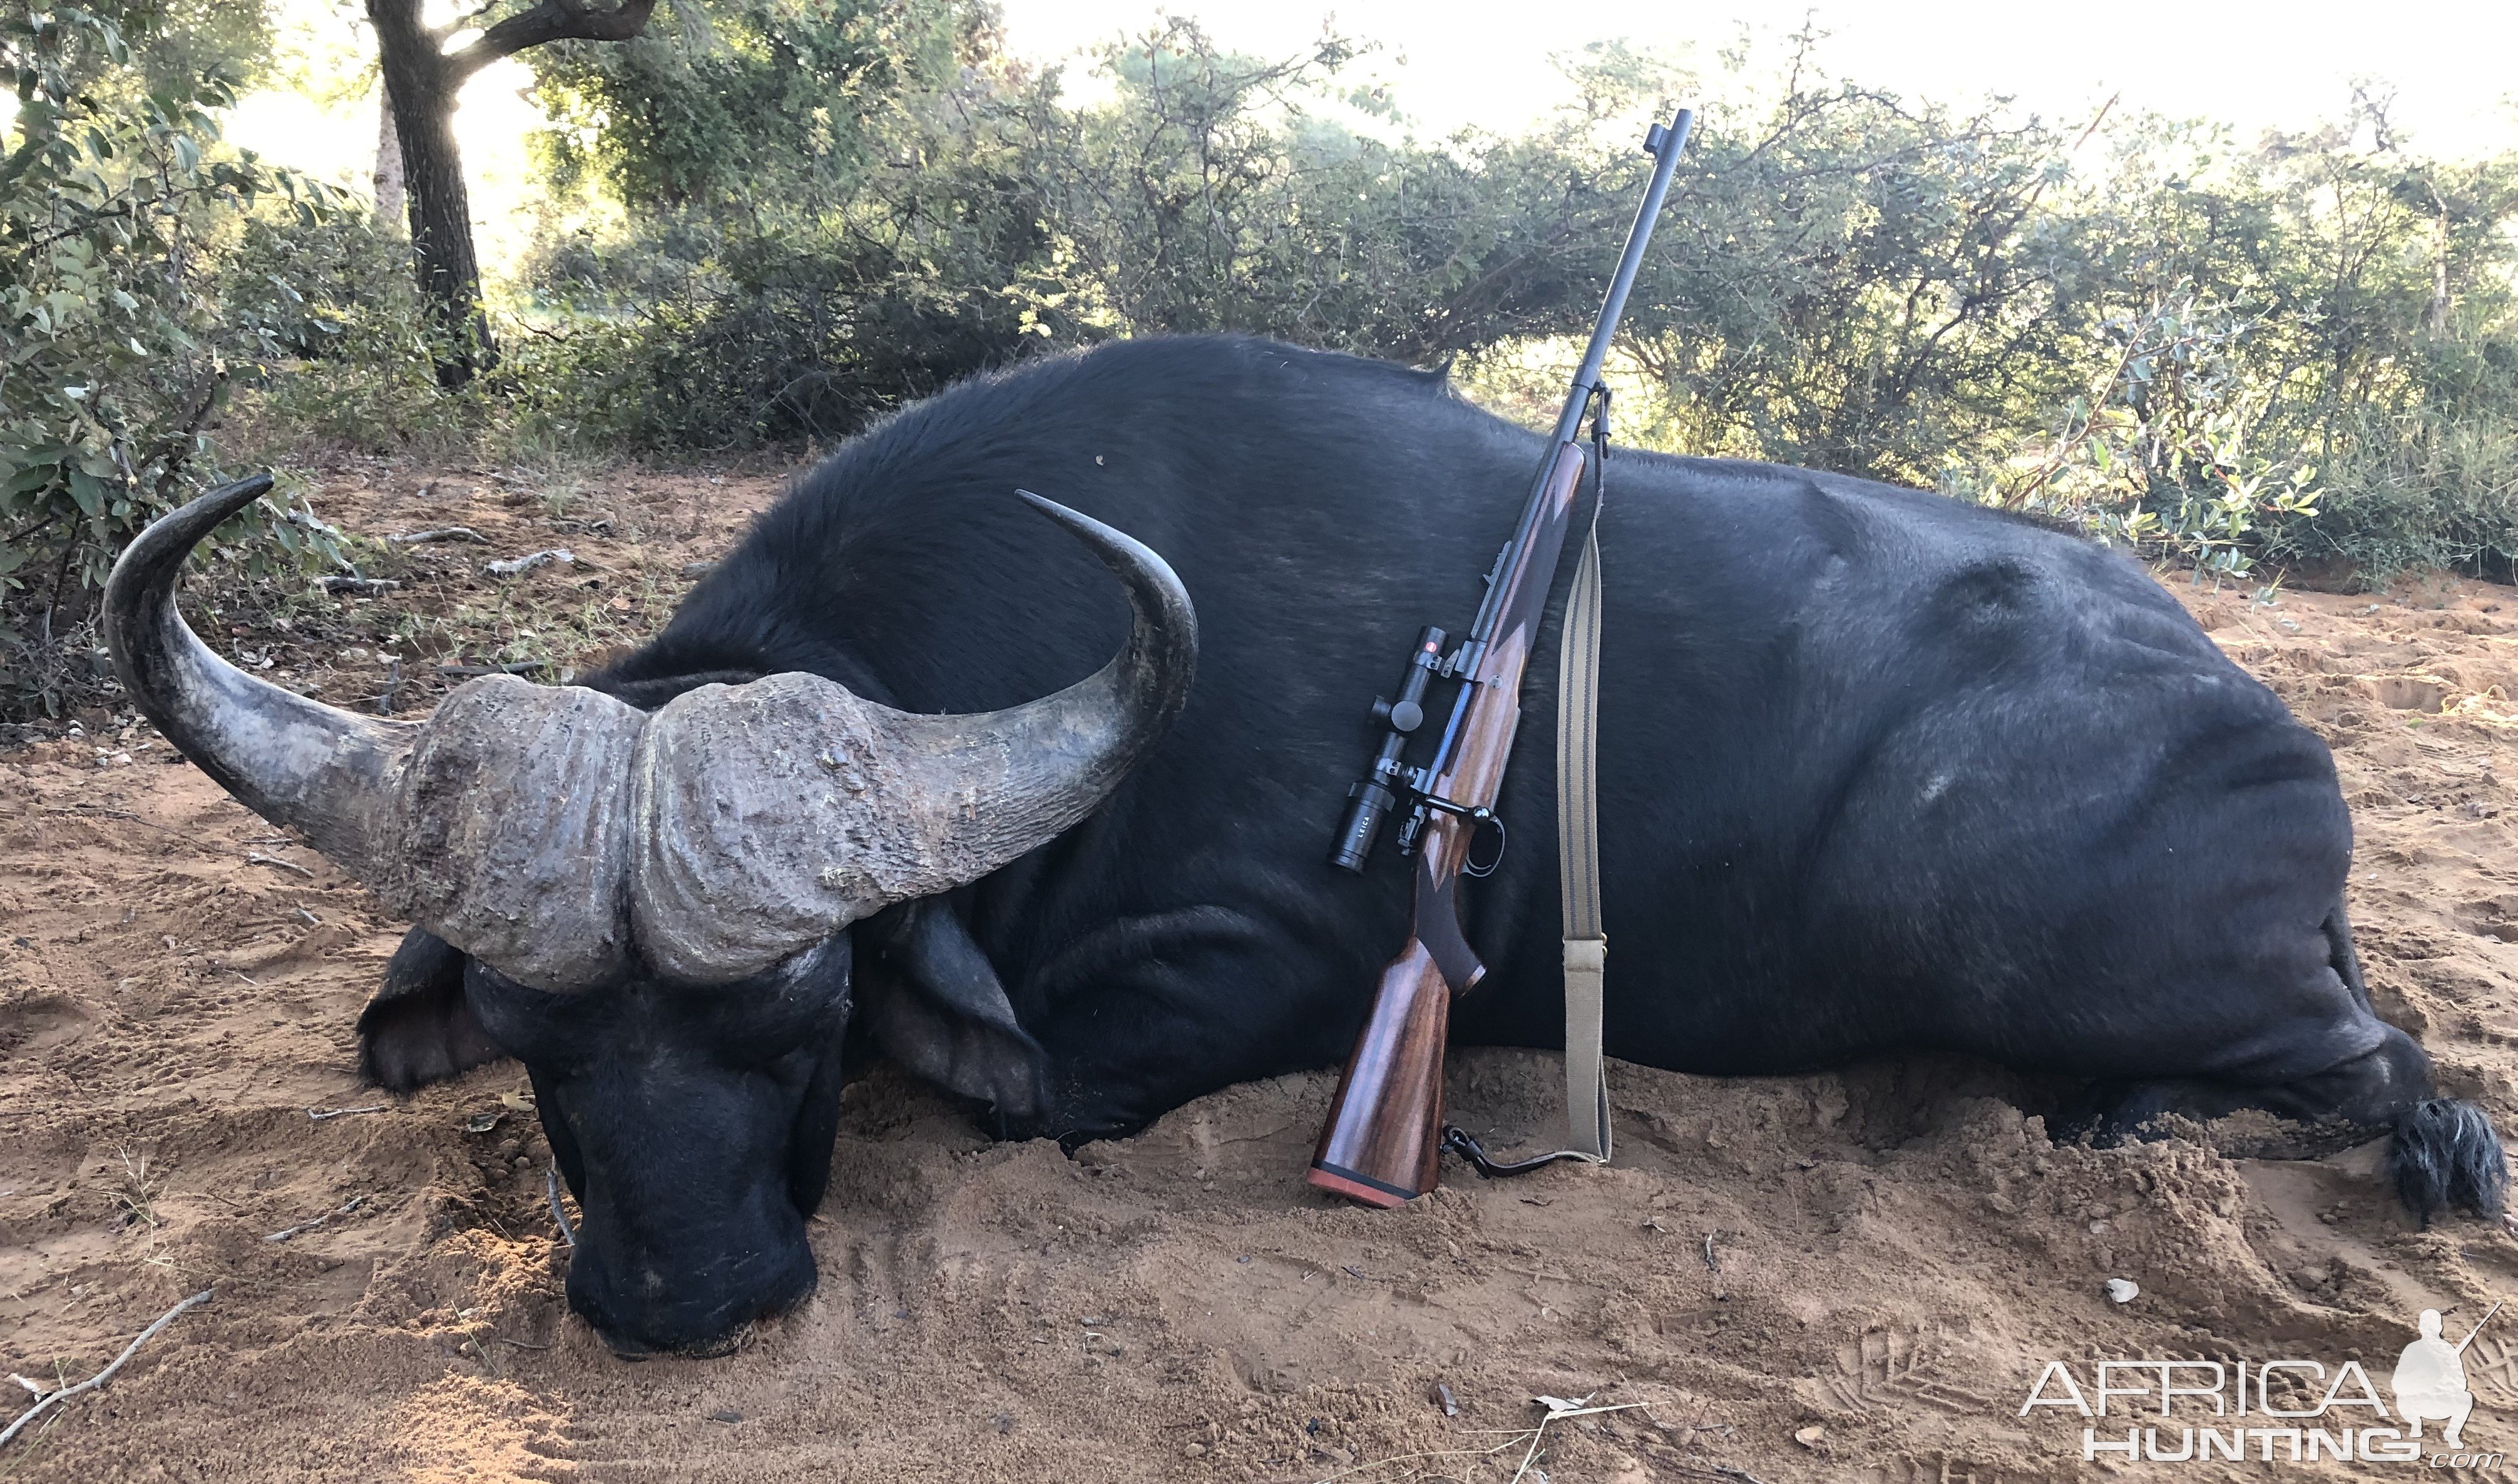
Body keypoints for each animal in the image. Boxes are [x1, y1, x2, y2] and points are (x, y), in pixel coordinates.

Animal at [113, 332, 2497, 1350]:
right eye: (535, 1040)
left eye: (798, 1017)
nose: (685, 1299)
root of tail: (2267, 736)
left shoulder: (1229, 979)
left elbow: (1026, 1095)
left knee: (2389, 1069)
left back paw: (2144, 1122)